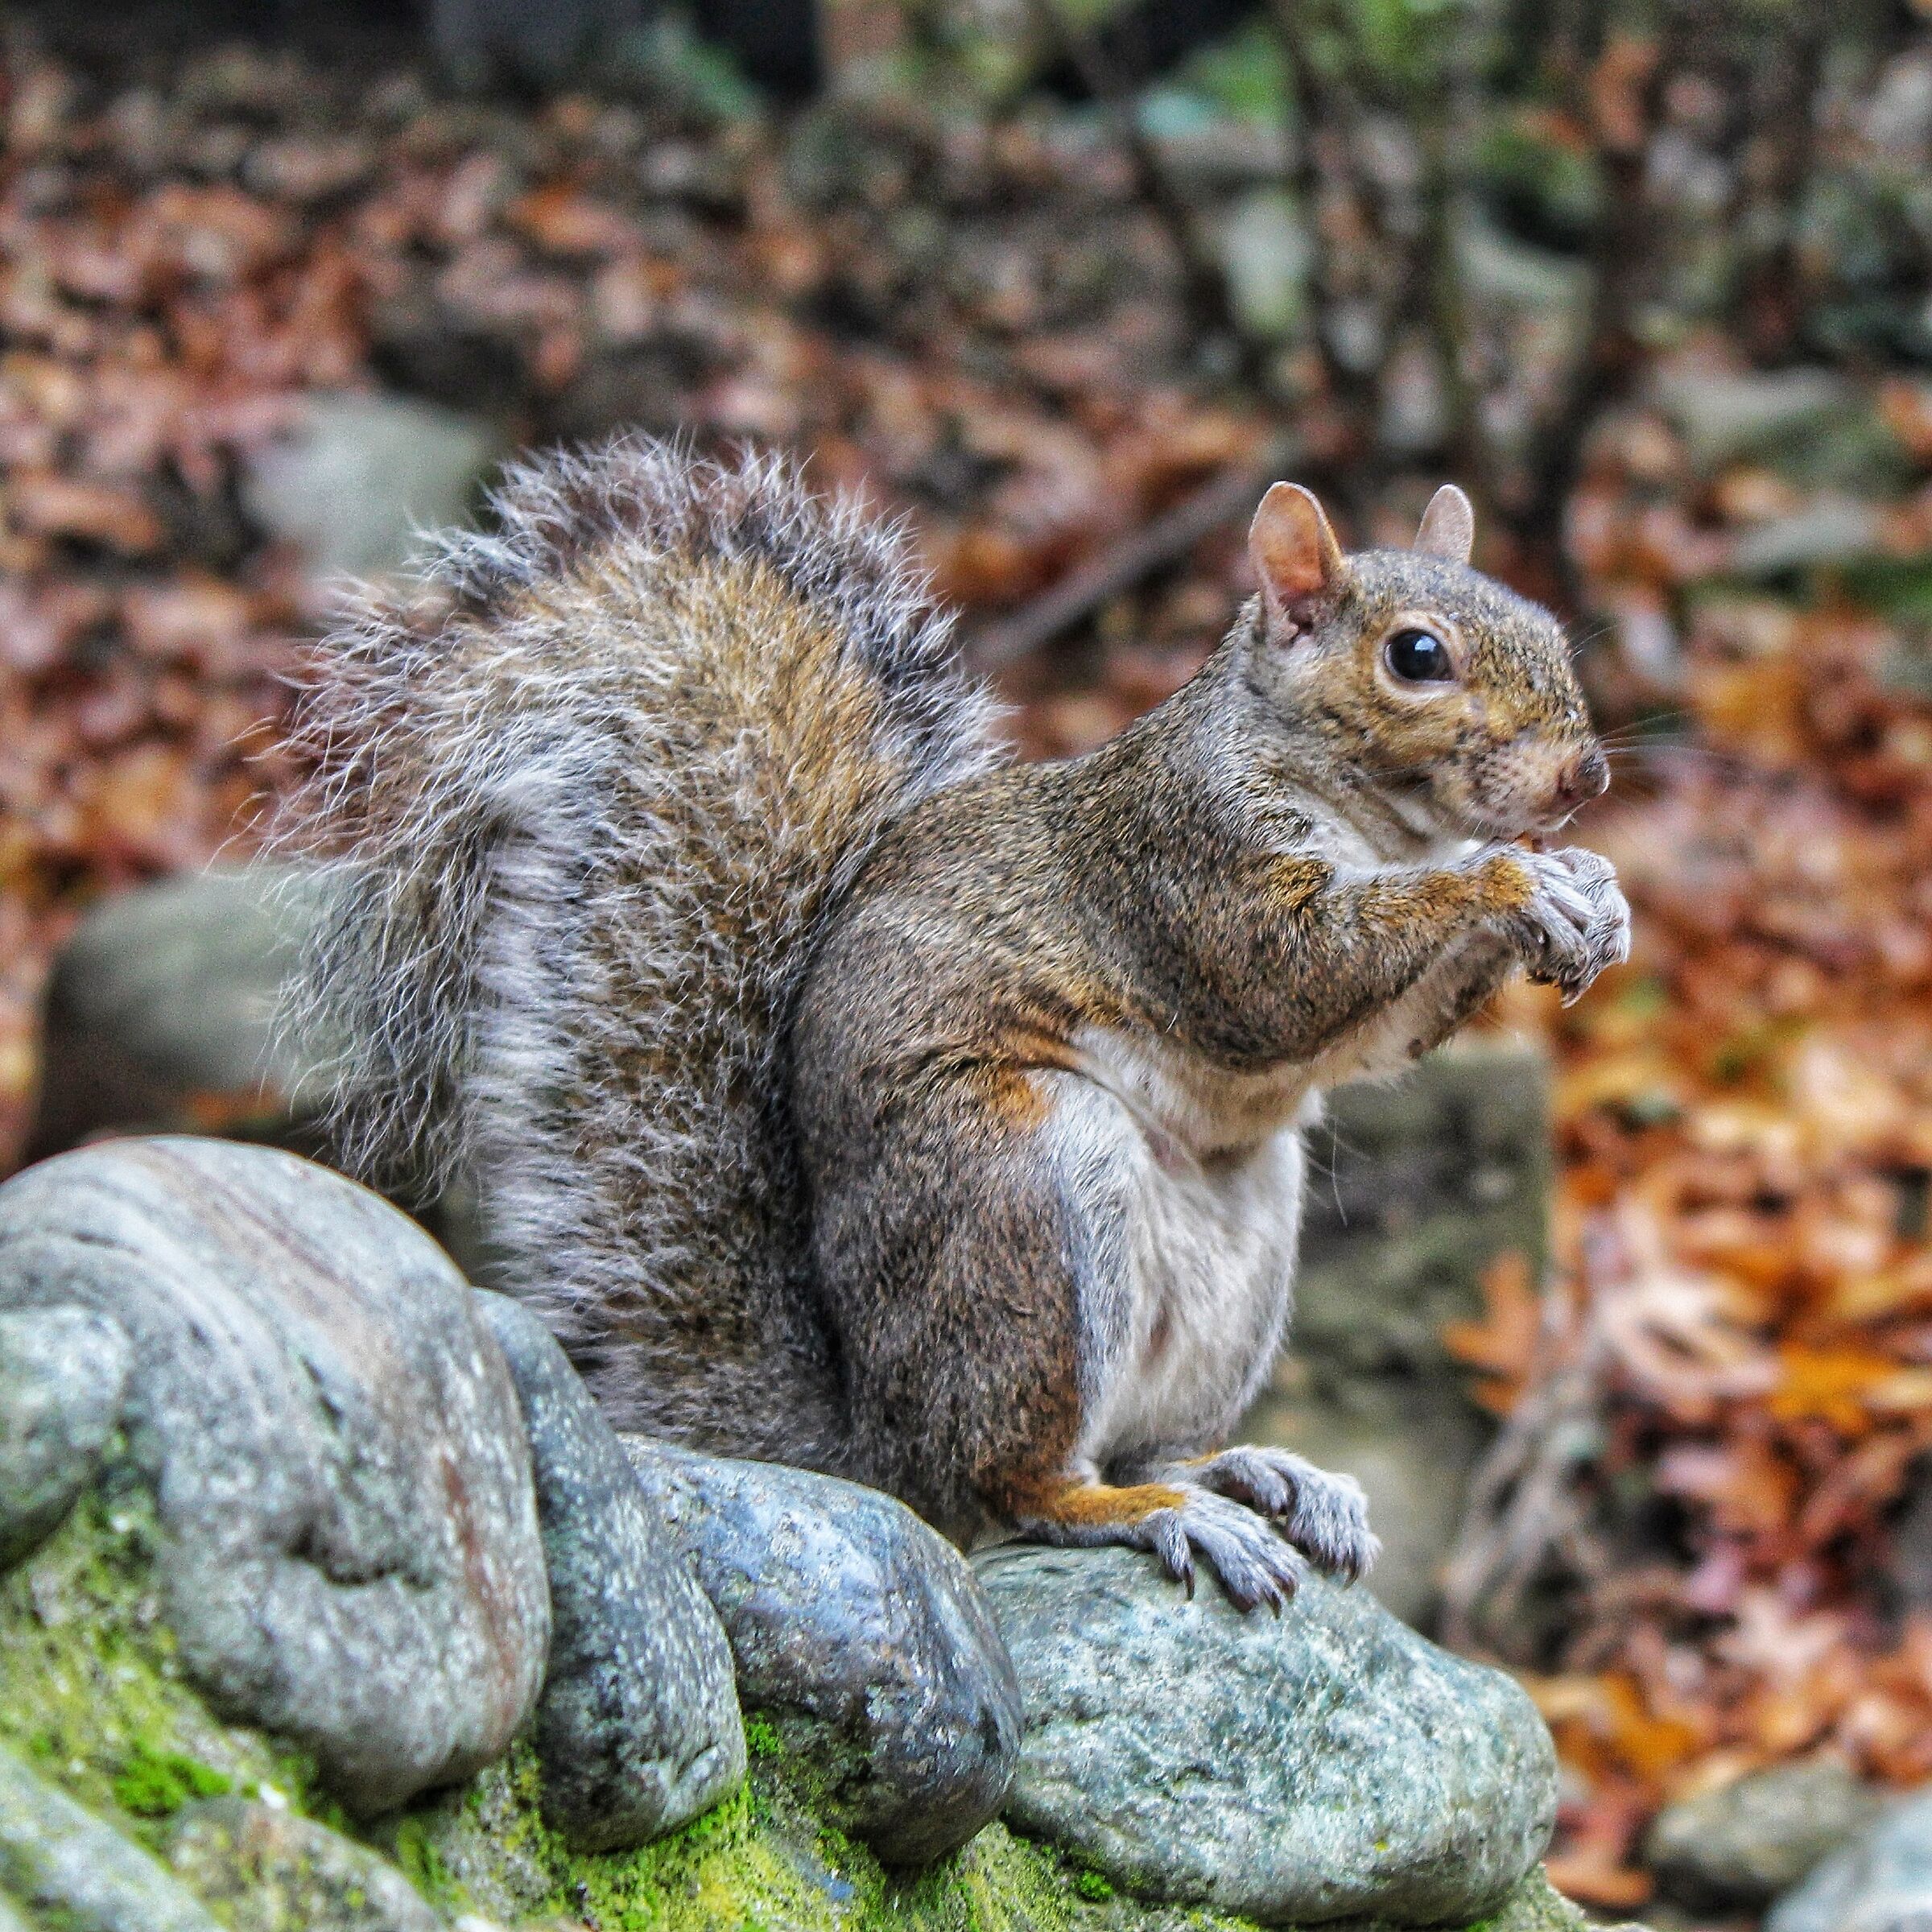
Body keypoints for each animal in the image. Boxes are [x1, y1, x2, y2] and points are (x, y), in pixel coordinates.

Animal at [282, 437, 1629, 1610]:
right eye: (1417, 656)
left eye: (1542, 621)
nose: (1584, 779)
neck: (1366, 814)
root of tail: (881, 1444)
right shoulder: (1188, 872)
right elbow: (1290, 976)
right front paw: (1507, 881)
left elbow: (1386, 1031)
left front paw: (1593, 893)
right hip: (1021, 1195)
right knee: (1017, 1484)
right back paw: (1147, 1512)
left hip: (1241, 1240)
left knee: (1142, 1441)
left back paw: (1253, 1474)